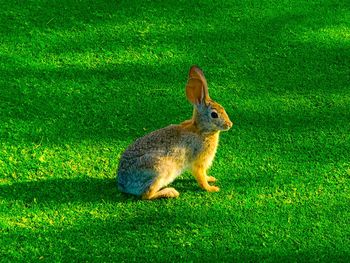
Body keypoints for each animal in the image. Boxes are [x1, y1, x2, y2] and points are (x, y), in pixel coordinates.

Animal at [116, 65, 234, 200]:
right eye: (214, 115)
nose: (229, 124)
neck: (201, 130)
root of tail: (123, 184)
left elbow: (204, 175)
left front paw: (211, 178)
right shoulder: (198, 161)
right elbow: (201, 177)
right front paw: (211, 188)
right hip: (159, 170)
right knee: (146, 195)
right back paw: (171, 192)